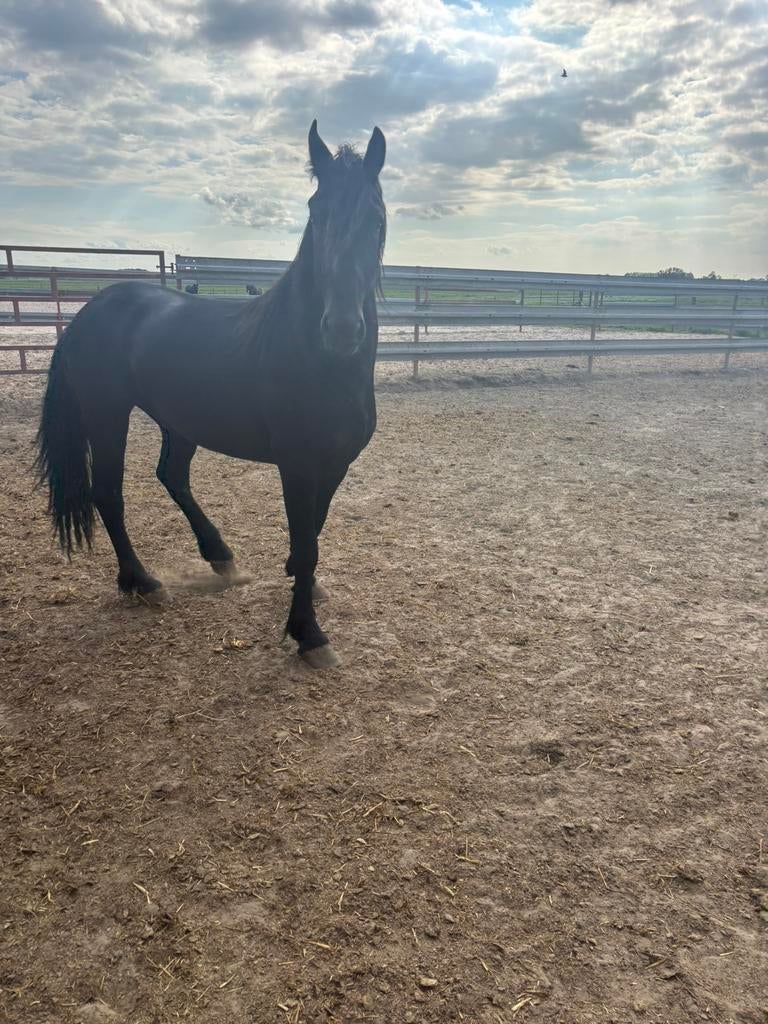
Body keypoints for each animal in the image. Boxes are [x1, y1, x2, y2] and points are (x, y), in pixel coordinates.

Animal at [35, 121, 387, 670]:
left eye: (375, 217)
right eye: (317, 211)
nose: (343, 330)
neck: (321, 362)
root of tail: (89, 312)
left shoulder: (336, 463)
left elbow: (314, 529)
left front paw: (300, 584)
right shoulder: (297, 464)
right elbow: (307, 540)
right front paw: (308, 633)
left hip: (179, 421)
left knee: (171, 475)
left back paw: (221, 557)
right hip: (107, 415)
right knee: (108, 493)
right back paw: (142, 582)